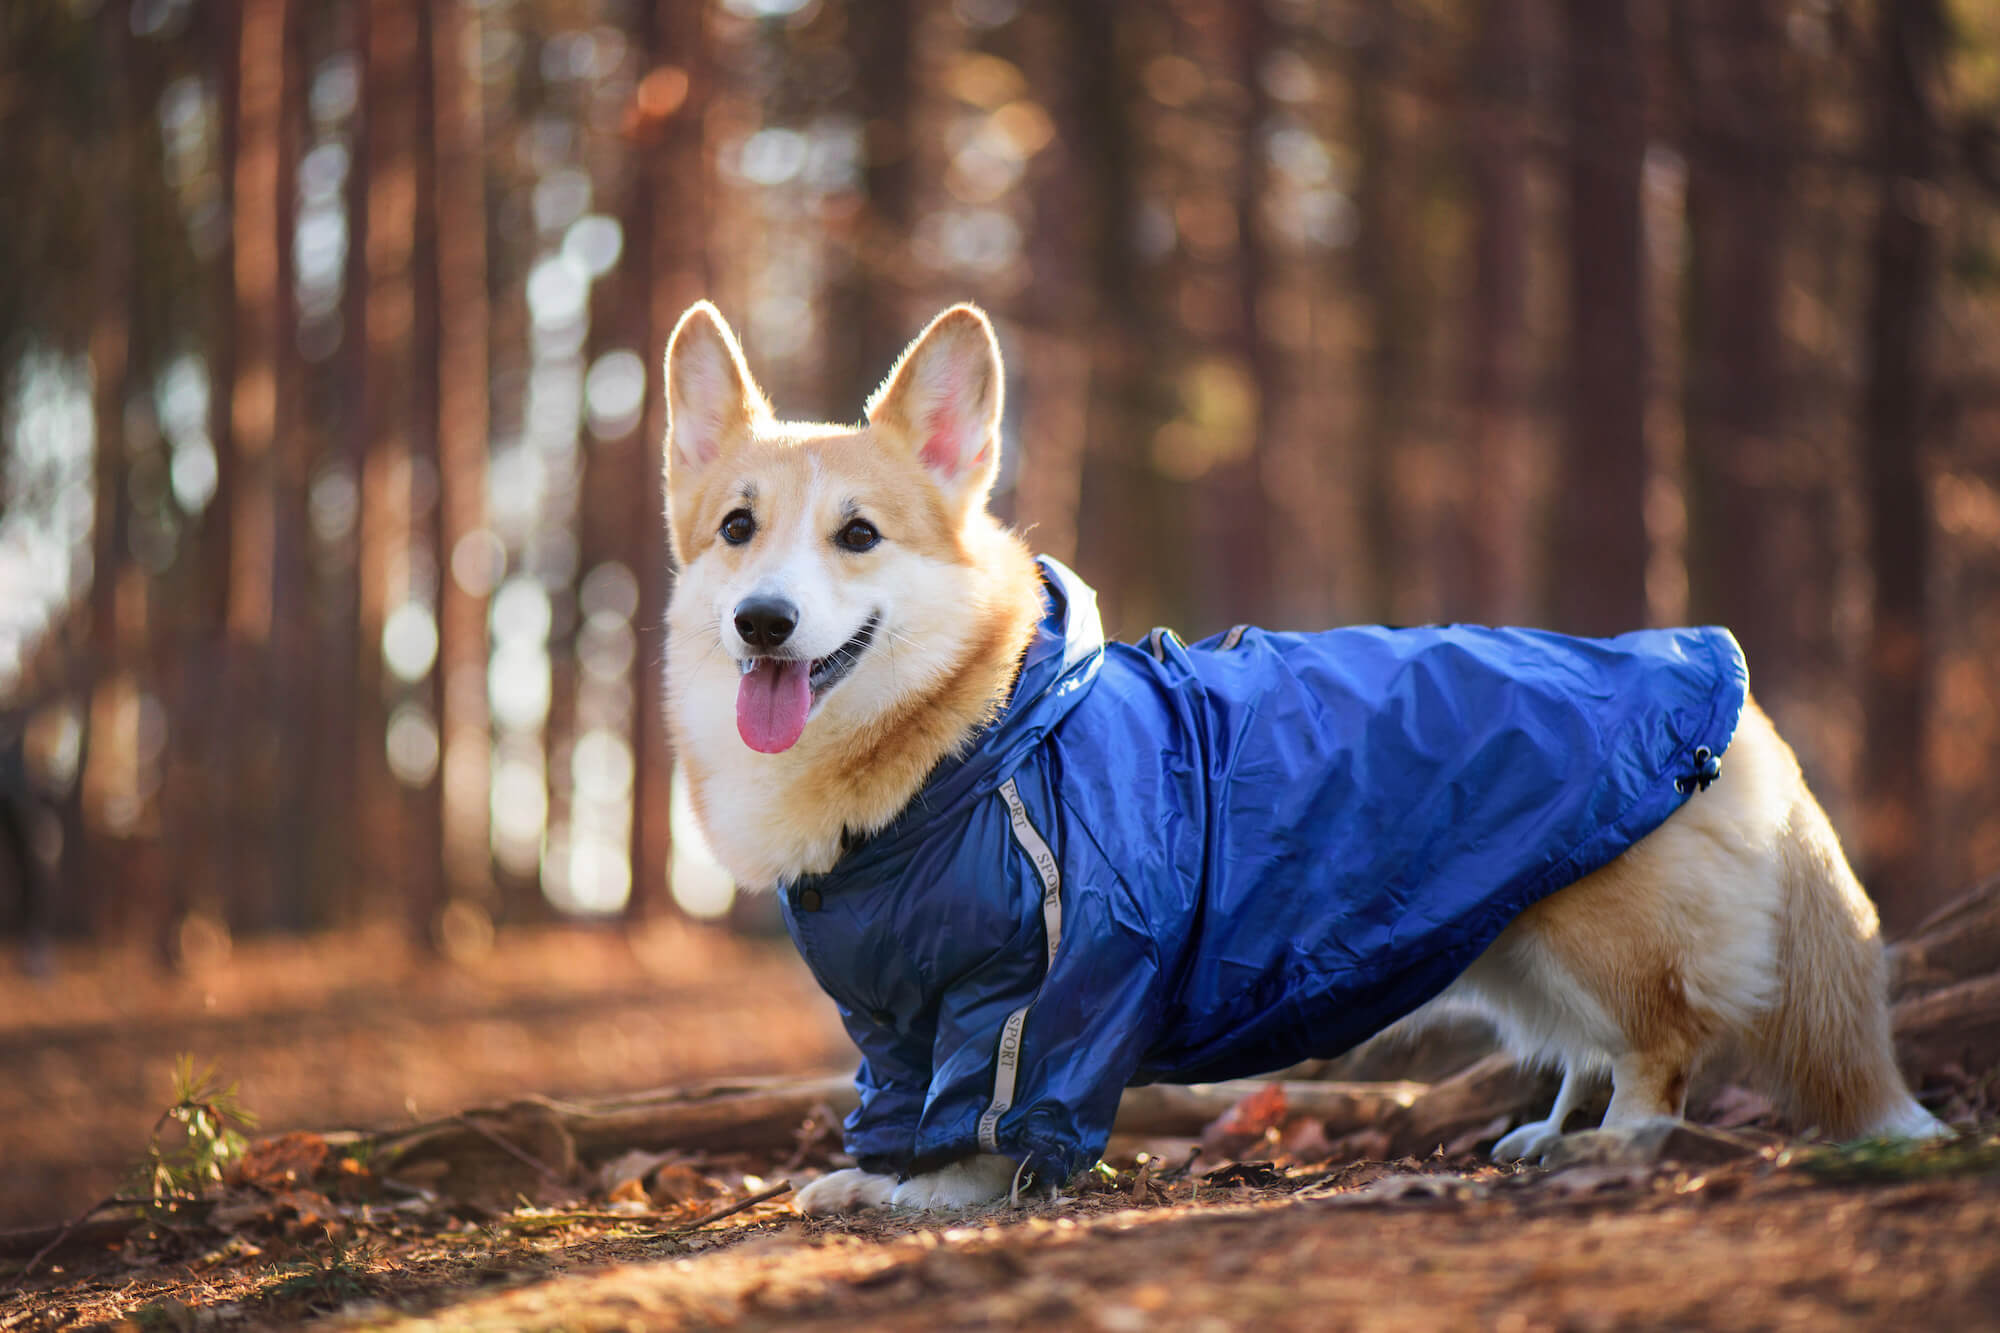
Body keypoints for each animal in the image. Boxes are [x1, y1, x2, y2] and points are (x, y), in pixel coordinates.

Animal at [664, 298, 1944, 1200]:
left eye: (858, 537)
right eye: (736, 529)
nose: (762, 622)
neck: (972, 733)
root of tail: (1726, 689)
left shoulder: (1047, 983)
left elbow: (991, 1107)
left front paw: (937, 1192)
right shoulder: (886, 1020)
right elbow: (894, 1101)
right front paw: (867, 1174)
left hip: (1603, 935)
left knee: (1659, 1048)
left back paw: (1616, 1145)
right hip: (1518, 944)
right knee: (1586, 1051)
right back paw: (1543, 1134)